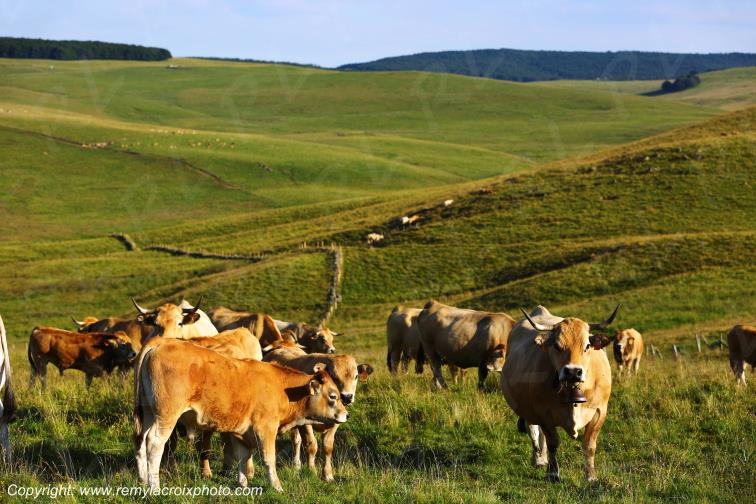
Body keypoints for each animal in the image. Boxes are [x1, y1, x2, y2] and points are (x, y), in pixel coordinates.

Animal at [133, 338, 348, 492]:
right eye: (333, 396)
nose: (346, 414)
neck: (281, 386)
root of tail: (161, 342)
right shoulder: (265, 429)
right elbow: (268, 459)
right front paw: (277, 486)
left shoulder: (241, 432)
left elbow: (243, 458)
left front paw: (243, 485)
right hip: (166, 416)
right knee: (154, 444)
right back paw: (154, 486)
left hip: (149, 413)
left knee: (141, 441)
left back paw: (143, 480)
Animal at [263, 343, 373, 481]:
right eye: (335, 377)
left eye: (356, 376)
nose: (347, 396)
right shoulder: (305, 423)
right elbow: (311, 446)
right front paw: (312, 472)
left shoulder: (336, 421)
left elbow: (328, 447)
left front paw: (328, 474)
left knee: (296, 440)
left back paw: (296, 465)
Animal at [500, 304, 620, 482]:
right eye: (557, 346)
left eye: (587, 346)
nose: (573, 371)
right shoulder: (543, 412)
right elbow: (553, 443)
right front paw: (553, 472)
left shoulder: (600, 411)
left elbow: (589, 445)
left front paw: (591, 475)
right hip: (528, 410)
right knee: (534, 431)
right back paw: (539, 459)